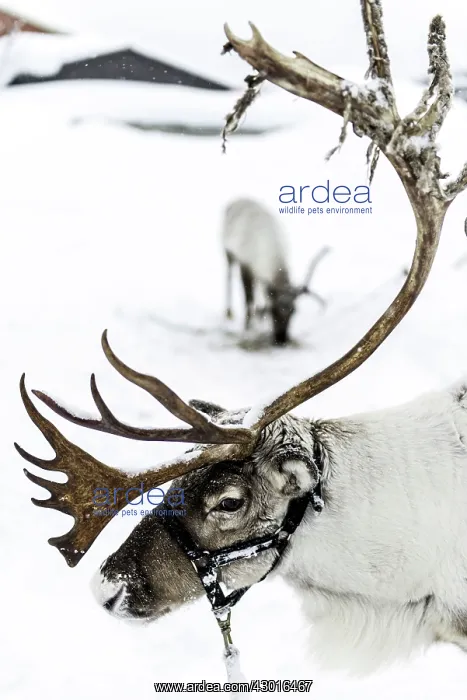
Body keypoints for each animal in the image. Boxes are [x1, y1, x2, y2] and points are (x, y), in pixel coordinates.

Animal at [223, 197, 330, 345]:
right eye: (273, 311)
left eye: (294, 311)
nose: (281, 339)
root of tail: (238, 199)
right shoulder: (246, 266)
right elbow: (248, 299)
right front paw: (248, 328)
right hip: (228, 253)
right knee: (228, 275)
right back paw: (229, 313)